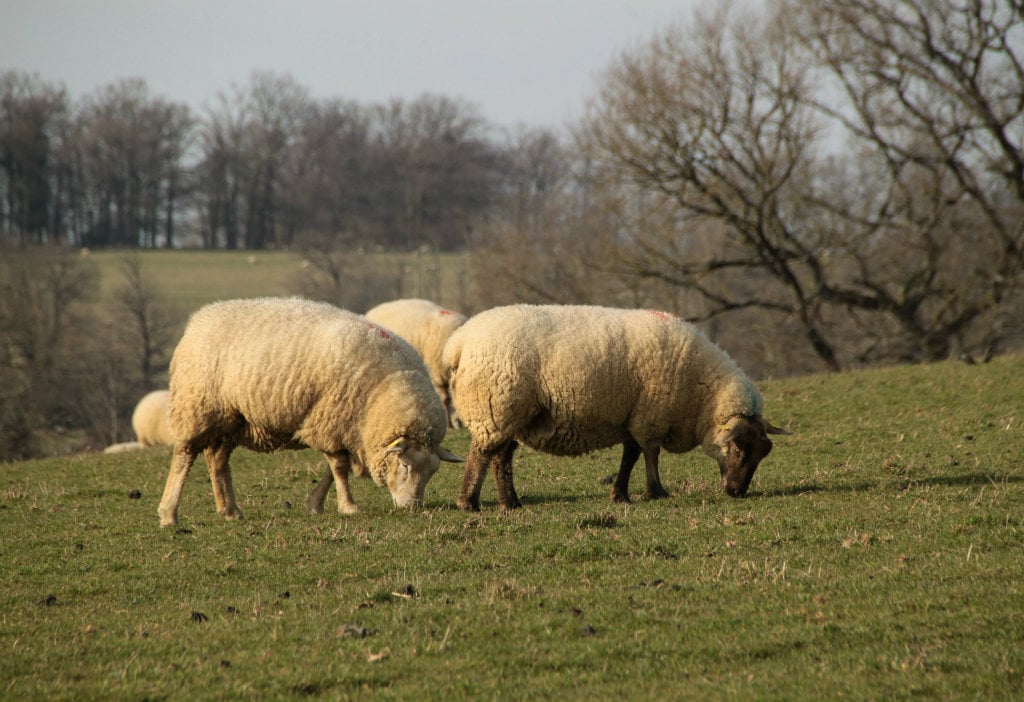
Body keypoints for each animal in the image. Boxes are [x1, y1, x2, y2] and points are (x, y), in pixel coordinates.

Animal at [442, 304, 789, 511]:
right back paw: (468, 502)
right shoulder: (651, 415)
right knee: (481, 455)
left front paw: (621, 494)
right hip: (494, 407)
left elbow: (630, 456)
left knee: (501, 457)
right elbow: (650, 454)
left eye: (762, 454)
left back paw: (510, 502)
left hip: (513, 414)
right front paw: (656, 491)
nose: (736, 492)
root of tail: (458, 343)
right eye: (739, 449)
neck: (702, 393)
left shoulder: (632, 416)